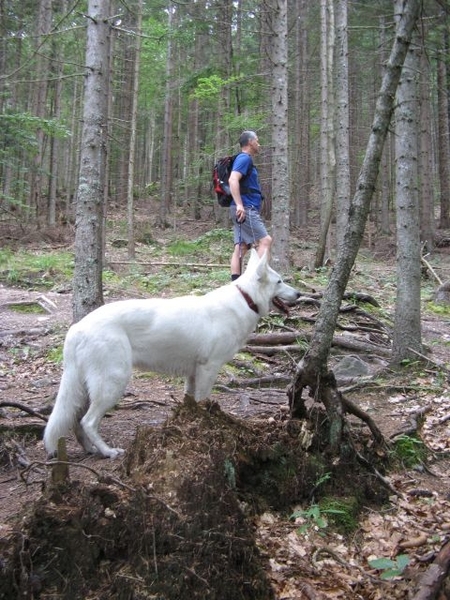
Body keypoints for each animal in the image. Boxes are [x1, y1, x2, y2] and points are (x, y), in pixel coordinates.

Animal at [44, 250, 300, 460]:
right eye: (280, 281)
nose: (298, 293)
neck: (245, 299)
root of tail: (77, 328)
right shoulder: (208, 369)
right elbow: (203, 402)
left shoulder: (193, 374)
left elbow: (191, 402)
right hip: (113, 383)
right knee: (87, 422)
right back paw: (108, 452)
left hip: (88, 386)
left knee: (76, 421)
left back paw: (90, 449)